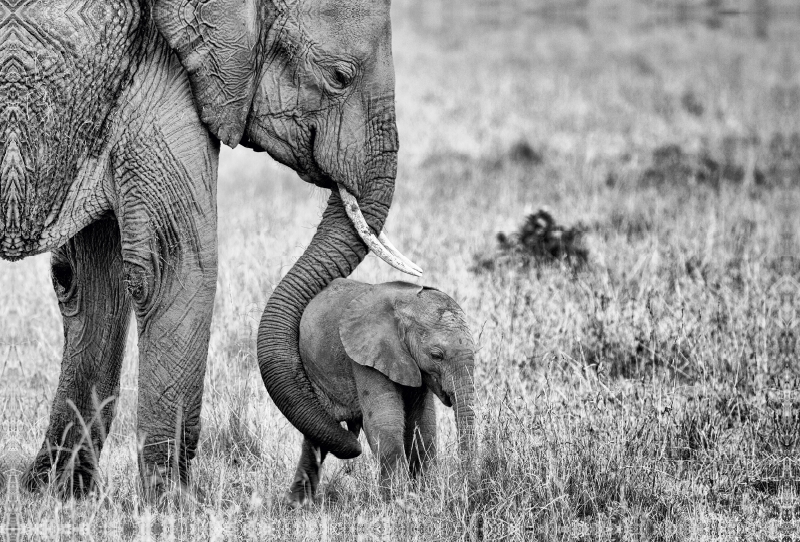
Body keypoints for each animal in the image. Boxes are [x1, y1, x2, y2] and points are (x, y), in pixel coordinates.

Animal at [3, 0, 418, 502]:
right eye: (340, 76)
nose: (350, 439)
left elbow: (92, 281)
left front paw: (55, 495)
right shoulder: (160, 73)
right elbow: (174, 269)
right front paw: (174, 504)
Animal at [286, 280, 476, 510]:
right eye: (436, 356)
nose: (468, 491)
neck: (405, 304)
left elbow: (422, 425)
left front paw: (425, 495)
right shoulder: (366, 355)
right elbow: (385, 422)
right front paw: (398, 503)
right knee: (317, 430)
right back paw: (298, 505)